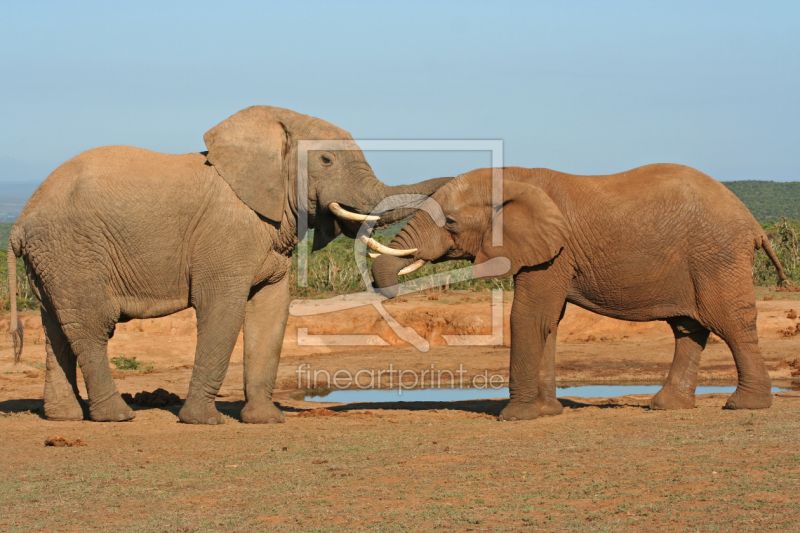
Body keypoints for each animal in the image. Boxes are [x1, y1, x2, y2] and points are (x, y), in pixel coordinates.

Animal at [6, 106, 446, 426]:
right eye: (325, 159)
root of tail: (22, 220)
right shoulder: (226, 234)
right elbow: (223, 310)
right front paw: (204, 422)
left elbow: (270, 311)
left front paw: (266, 421)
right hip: (74, 249)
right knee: (92, 326)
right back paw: (117, 416)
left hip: (54, 258)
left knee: (57, 327)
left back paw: (63, 418)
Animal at [374, 164, 788, 418]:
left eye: (452, 222)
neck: (514, 177)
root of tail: (755, 223)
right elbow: (549, 321)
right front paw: (546, 413)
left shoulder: (554, 251)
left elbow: (529, 316)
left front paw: (515, 417)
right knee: (688, 328)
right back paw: (666, 406)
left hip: (717, 256)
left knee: (729, 322)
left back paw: (745, 406)